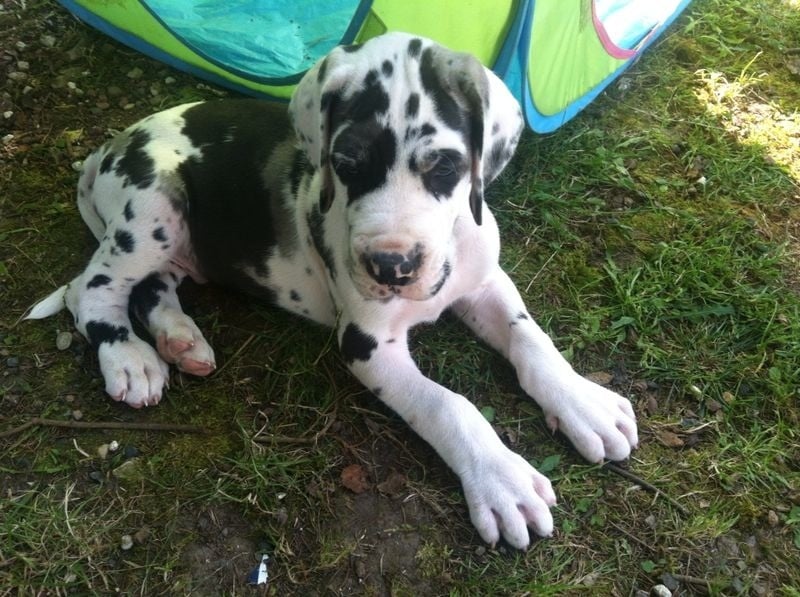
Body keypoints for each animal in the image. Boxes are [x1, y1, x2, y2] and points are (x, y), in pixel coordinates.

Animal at [26, 32, 638, 549]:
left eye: (445, 167)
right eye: (345, 163)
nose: (391, 266)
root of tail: (111, 146)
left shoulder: (484, 282)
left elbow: (530, 339)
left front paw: (582, 401)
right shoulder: (368, 346)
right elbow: (449, 405)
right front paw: (502, 479)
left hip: (184, 240)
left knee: (153, 288)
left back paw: (181, 340)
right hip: (155, 208)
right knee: (90, 290)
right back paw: (130, 359)